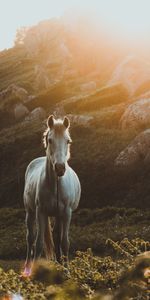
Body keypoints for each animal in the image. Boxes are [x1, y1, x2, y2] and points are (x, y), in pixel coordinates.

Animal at [23, 115, 81, 272]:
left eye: (68, 141)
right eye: (50, 140)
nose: (60, 168)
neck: (55, 186)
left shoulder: (66, 213)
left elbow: (64, 242)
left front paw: (66, 270)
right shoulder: (41, 212)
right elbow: (39, 243)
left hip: (58, 215)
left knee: (56, 237)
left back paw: (59, 263)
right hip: (30, 212)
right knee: (30, 238)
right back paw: (27, 268)